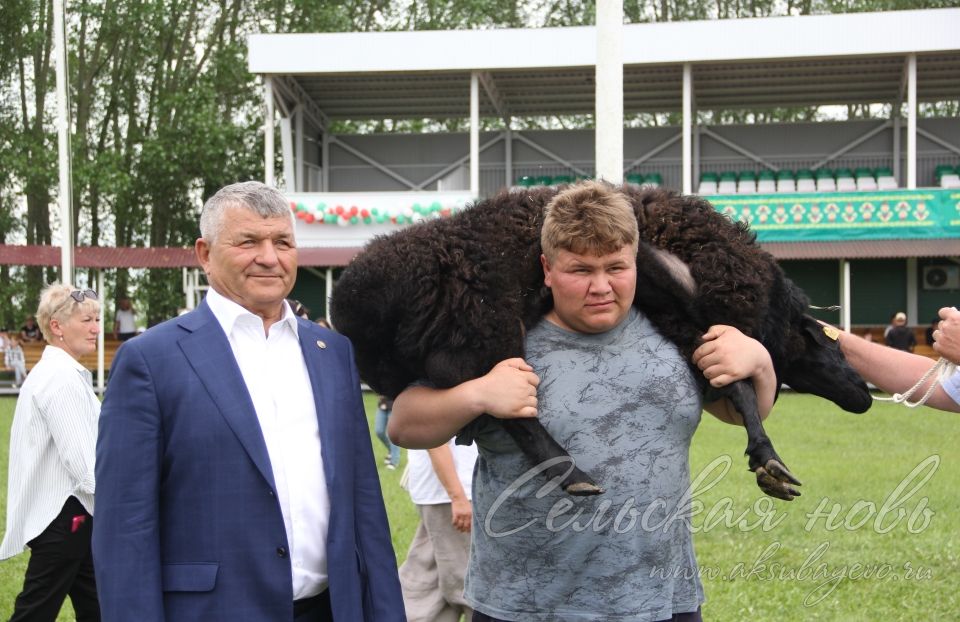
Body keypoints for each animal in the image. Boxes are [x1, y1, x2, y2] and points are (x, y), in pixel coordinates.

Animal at [328, 185, 872, 502]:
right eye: (831, 343)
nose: (865, 397)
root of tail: (353, 303)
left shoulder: (685, 319)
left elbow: (732, 382)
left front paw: (765, 458)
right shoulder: (689, 296)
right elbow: (740, 387)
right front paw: (769, 459)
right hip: (481, 330)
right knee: (512, 412)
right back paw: (572, 473)